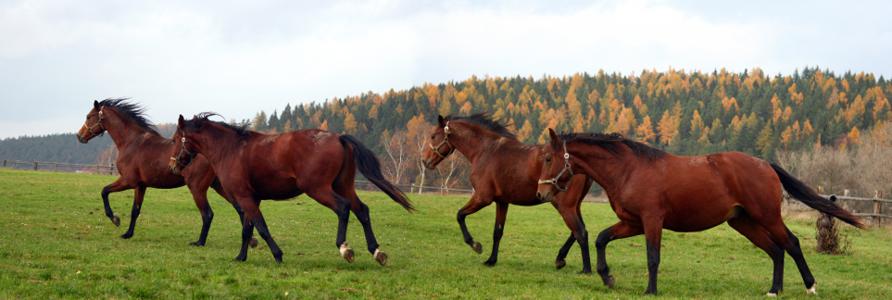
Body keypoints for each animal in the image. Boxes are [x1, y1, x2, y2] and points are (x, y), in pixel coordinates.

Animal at [75, 99, 256, 246]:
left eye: (89, 116)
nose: (79, 136)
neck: (132, 142)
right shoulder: (140, 186)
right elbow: (135, 210)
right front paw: (128, 233)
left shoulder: (128, 181)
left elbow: (104, 191)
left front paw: (115, 219)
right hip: (220, 187)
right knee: (241, 210)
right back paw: (252, 241)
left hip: (198, 188)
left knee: (208, 214)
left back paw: (200, 242)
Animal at [171, 113, 414, 264]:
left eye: (175, 139)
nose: (174, 164)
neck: (230, 149)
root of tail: (338, 138)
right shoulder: (250, 199)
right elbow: (247, 230)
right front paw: (241, 257)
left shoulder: (245, 199)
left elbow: (261, 228)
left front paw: (277, 255)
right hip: (343, 186)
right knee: (362, 210)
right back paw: (376, 251)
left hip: (318, 189)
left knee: (343, 208)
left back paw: (344, 248)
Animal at [424, 114, 596, 272]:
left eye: (433, 136)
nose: (425, 161)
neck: (486, 150)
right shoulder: (502, 202)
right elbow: (497, 232)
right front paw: (491, 260)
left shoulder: (482, 198)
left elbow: (459, 215)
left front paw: (476, 245)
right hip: (575, 206)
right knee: (579, 230)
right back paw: (560, 259)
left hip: (565, 206)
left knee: (580, 232)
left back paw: (585, 269)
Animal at [536, 129, 864, 296]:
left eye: (549, 158)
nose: (541, 192)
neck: (629, 169)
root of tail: (765, 164)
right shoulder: (632, 223)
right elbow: (602, 238)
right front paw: (607, 277)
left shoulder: (652, 221)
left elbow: (653, 258)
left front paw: (650, 291)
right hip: (743, 222)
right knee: (775, 250)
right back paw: (775, 289)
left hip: (767, 216)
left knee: (791, 244)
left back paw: (810, 286)